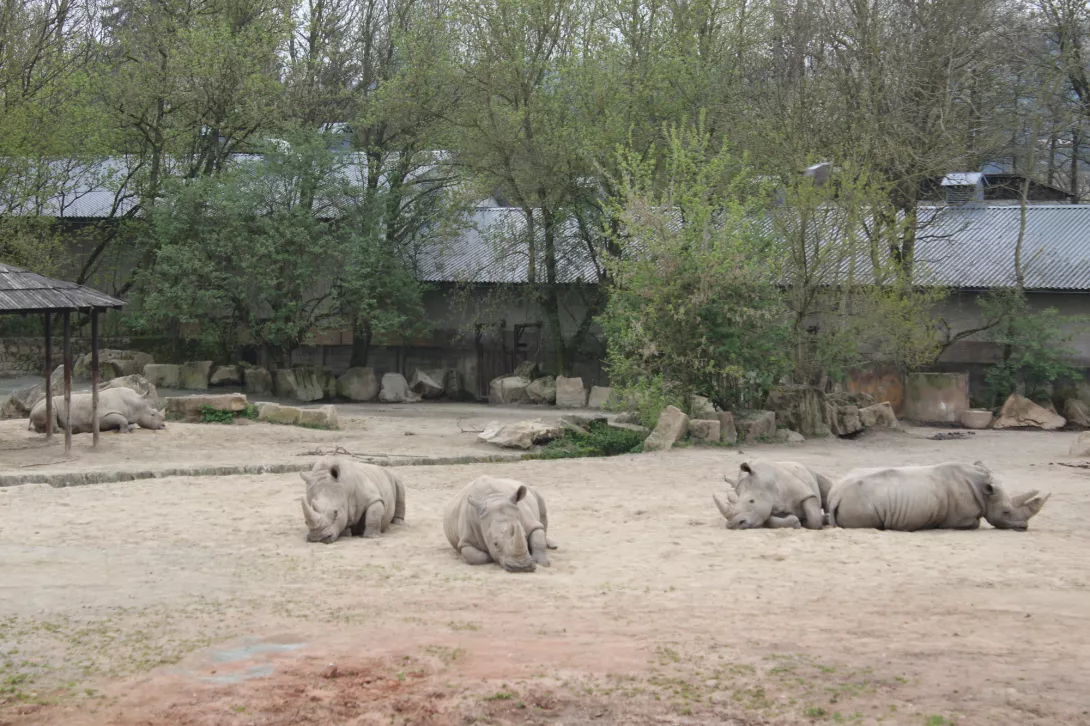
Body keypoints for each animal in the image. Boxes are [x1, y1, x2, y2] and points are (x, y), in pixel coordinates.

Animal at [28, 388, 164, 431]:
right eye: (152, 414)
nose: (163, 426)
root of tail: (30, 411)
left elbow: (127, 422)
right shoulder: (101, 416)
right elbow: (123, 420)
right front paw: (123, 432)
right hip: (44, 405)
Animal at [828, 460, 1050, 529]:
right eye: (1006, 512)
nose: (1023, 527)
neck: (984, 491)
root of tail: (836, 495)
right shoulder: (961, 519)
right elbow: (976, 523)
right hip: (860, 501)